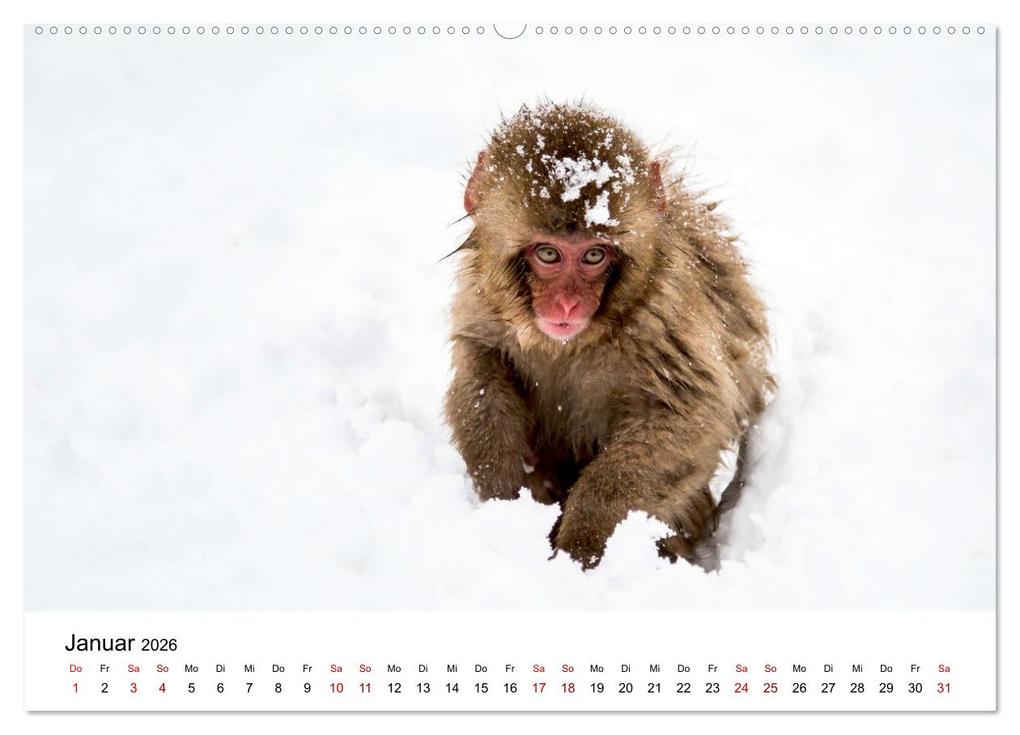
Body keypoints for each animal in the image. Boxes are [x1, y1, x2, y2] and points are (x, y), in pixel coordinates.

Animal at [444, 102, 772, 569]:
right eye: (549, 253)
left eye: (594, 255)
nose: (567, 305)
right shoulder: (484, 300)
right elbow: (481, 364)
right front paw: (502, 495)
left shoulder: (665, 315)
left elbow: (694, 413)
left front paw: (580, 541)